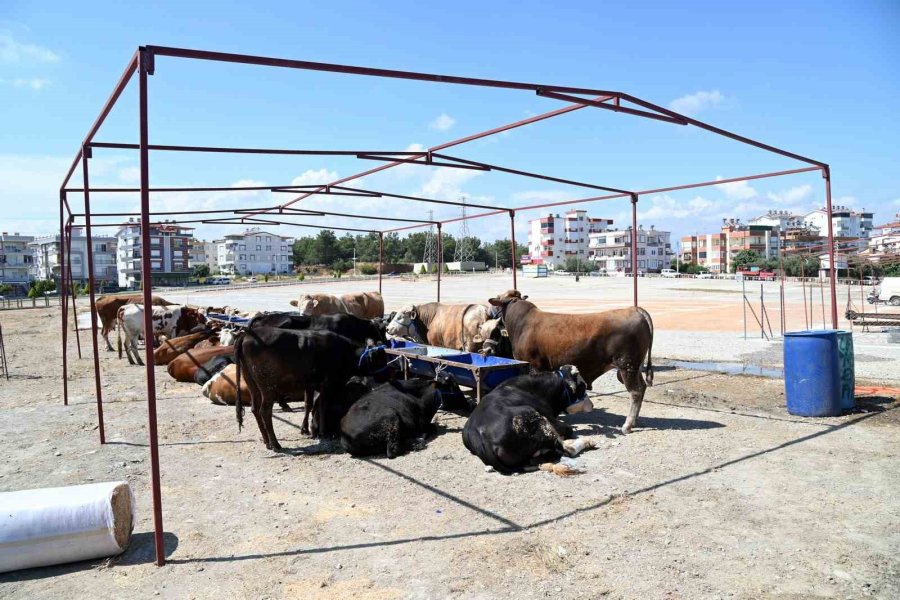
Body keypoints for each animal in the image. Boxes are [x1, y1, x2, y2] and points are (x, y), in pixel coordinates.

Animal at [236, 328, 386, 450]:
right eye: (381, 359)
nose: (387, 374)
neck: (345, 352)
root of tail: (247, 334)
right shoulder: (328, 383)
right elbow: (322, 405)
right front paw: (323, 432)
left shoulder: (309, 384)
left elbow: (308, 404)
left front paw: (305, 429)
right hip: (268, 387)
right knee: (265, 411)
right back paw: (275, 444)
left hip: (251, 383)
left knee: (255, 409)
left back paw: (267, 442)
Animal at [464, 364, 596, 476]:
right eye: (583, 387)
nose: (592, 405)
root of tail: (482, 436)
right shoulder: (550, 417)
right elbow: (568, 429)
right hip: (538, 421)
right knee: (566, 450)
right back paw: (587, 441)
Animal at [492, 292, 652, 434]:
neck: (522, 324)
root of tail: (634, 309)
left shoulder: (534, 366)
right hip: (635, 367)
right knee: (642, 387)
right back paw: (635, 420)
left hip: (627, 366)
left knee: (635, 392)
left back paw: (628, 425)